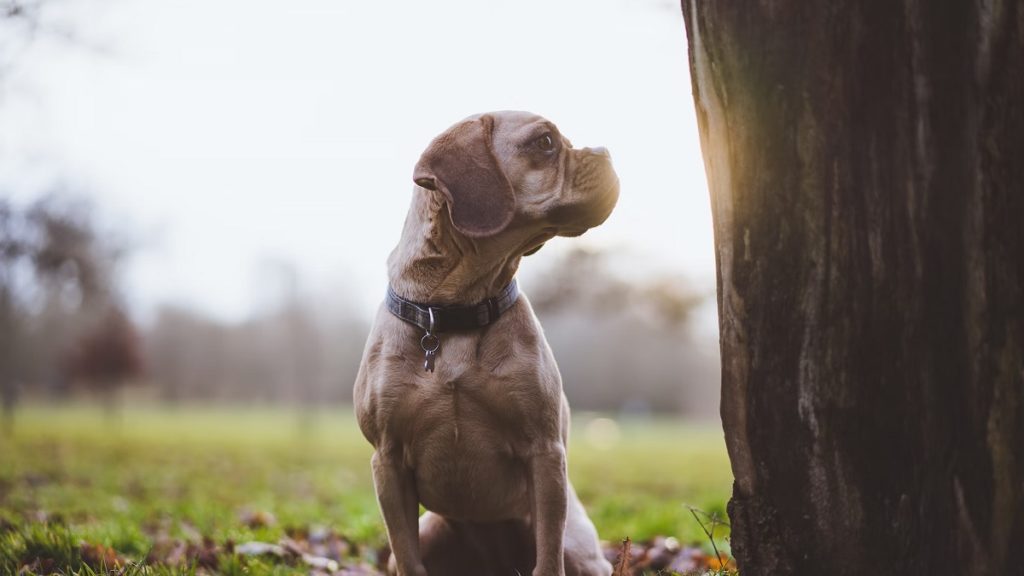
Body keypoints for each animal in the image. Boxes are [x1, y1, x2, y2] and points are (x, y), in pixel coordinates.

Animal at [356, 109, 618, 569]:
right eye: (545, 141)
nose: (606, 152)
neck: (454, 311)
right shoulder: (387, 461)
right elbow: (407, 558)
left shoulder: (545, 452)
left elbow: (548, 558)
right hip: (432, 529)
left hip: (579, 545)